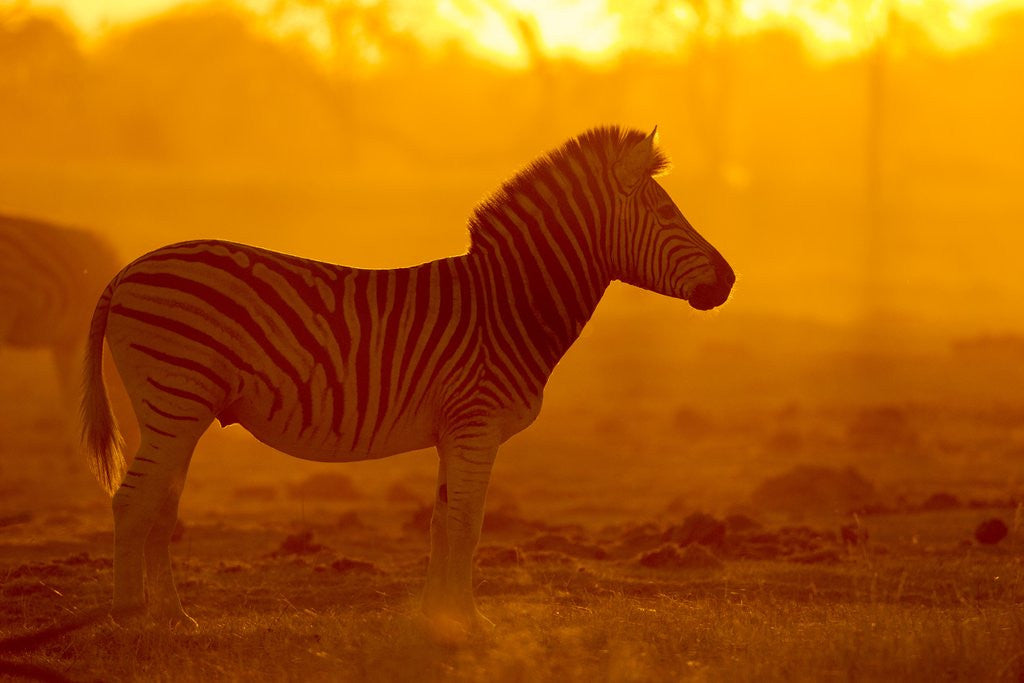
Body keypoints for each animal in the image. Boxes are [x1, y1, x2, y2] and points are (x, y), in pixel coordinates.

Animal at [81, 126, 734, 629]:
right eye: (667, 212)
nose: (730, 280)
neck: (506, 306)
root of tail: (127, 270)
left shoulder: (454, 432)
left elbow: (442, 523)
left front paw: (436, 617)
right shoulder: (476, 425)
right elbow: (467, 526)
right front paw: (469, 623)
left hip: (180, 412)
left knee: (160, 506)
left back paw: (173, 617)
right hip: (175, 401)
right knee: (132, 501)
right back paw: (128, 617)